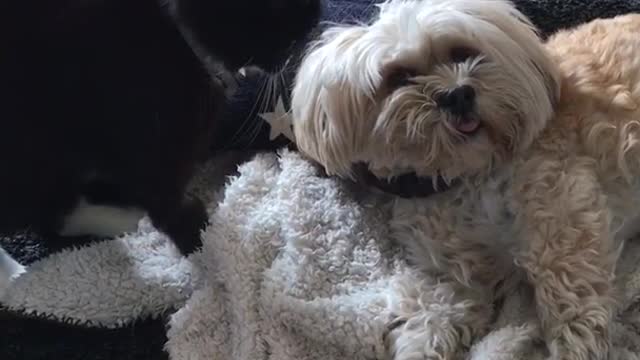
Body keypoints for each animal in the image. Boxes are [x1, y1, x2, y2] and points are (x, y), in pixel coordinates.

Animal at [294, 0, 640, 358]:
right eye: (399, 77)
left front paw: (577, 345)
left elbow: (567, 290)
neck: (465, 176)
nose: (457, 94)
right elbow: (435, 309)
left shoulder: (561, 210)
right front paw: (417, 344)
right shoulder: (456, 273)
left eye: (461, 52)